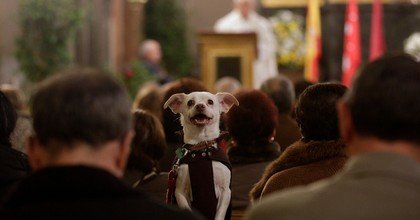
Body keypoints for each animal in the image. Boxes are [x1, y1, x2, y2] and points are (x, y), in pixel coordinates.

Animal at [163, 91, 238, 220]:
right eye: (190, 102)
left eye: (210, 102)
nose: (199, 106)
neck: (200, 147)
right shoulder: (180, 192)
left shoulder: (225, 192)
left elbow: (219, 215)